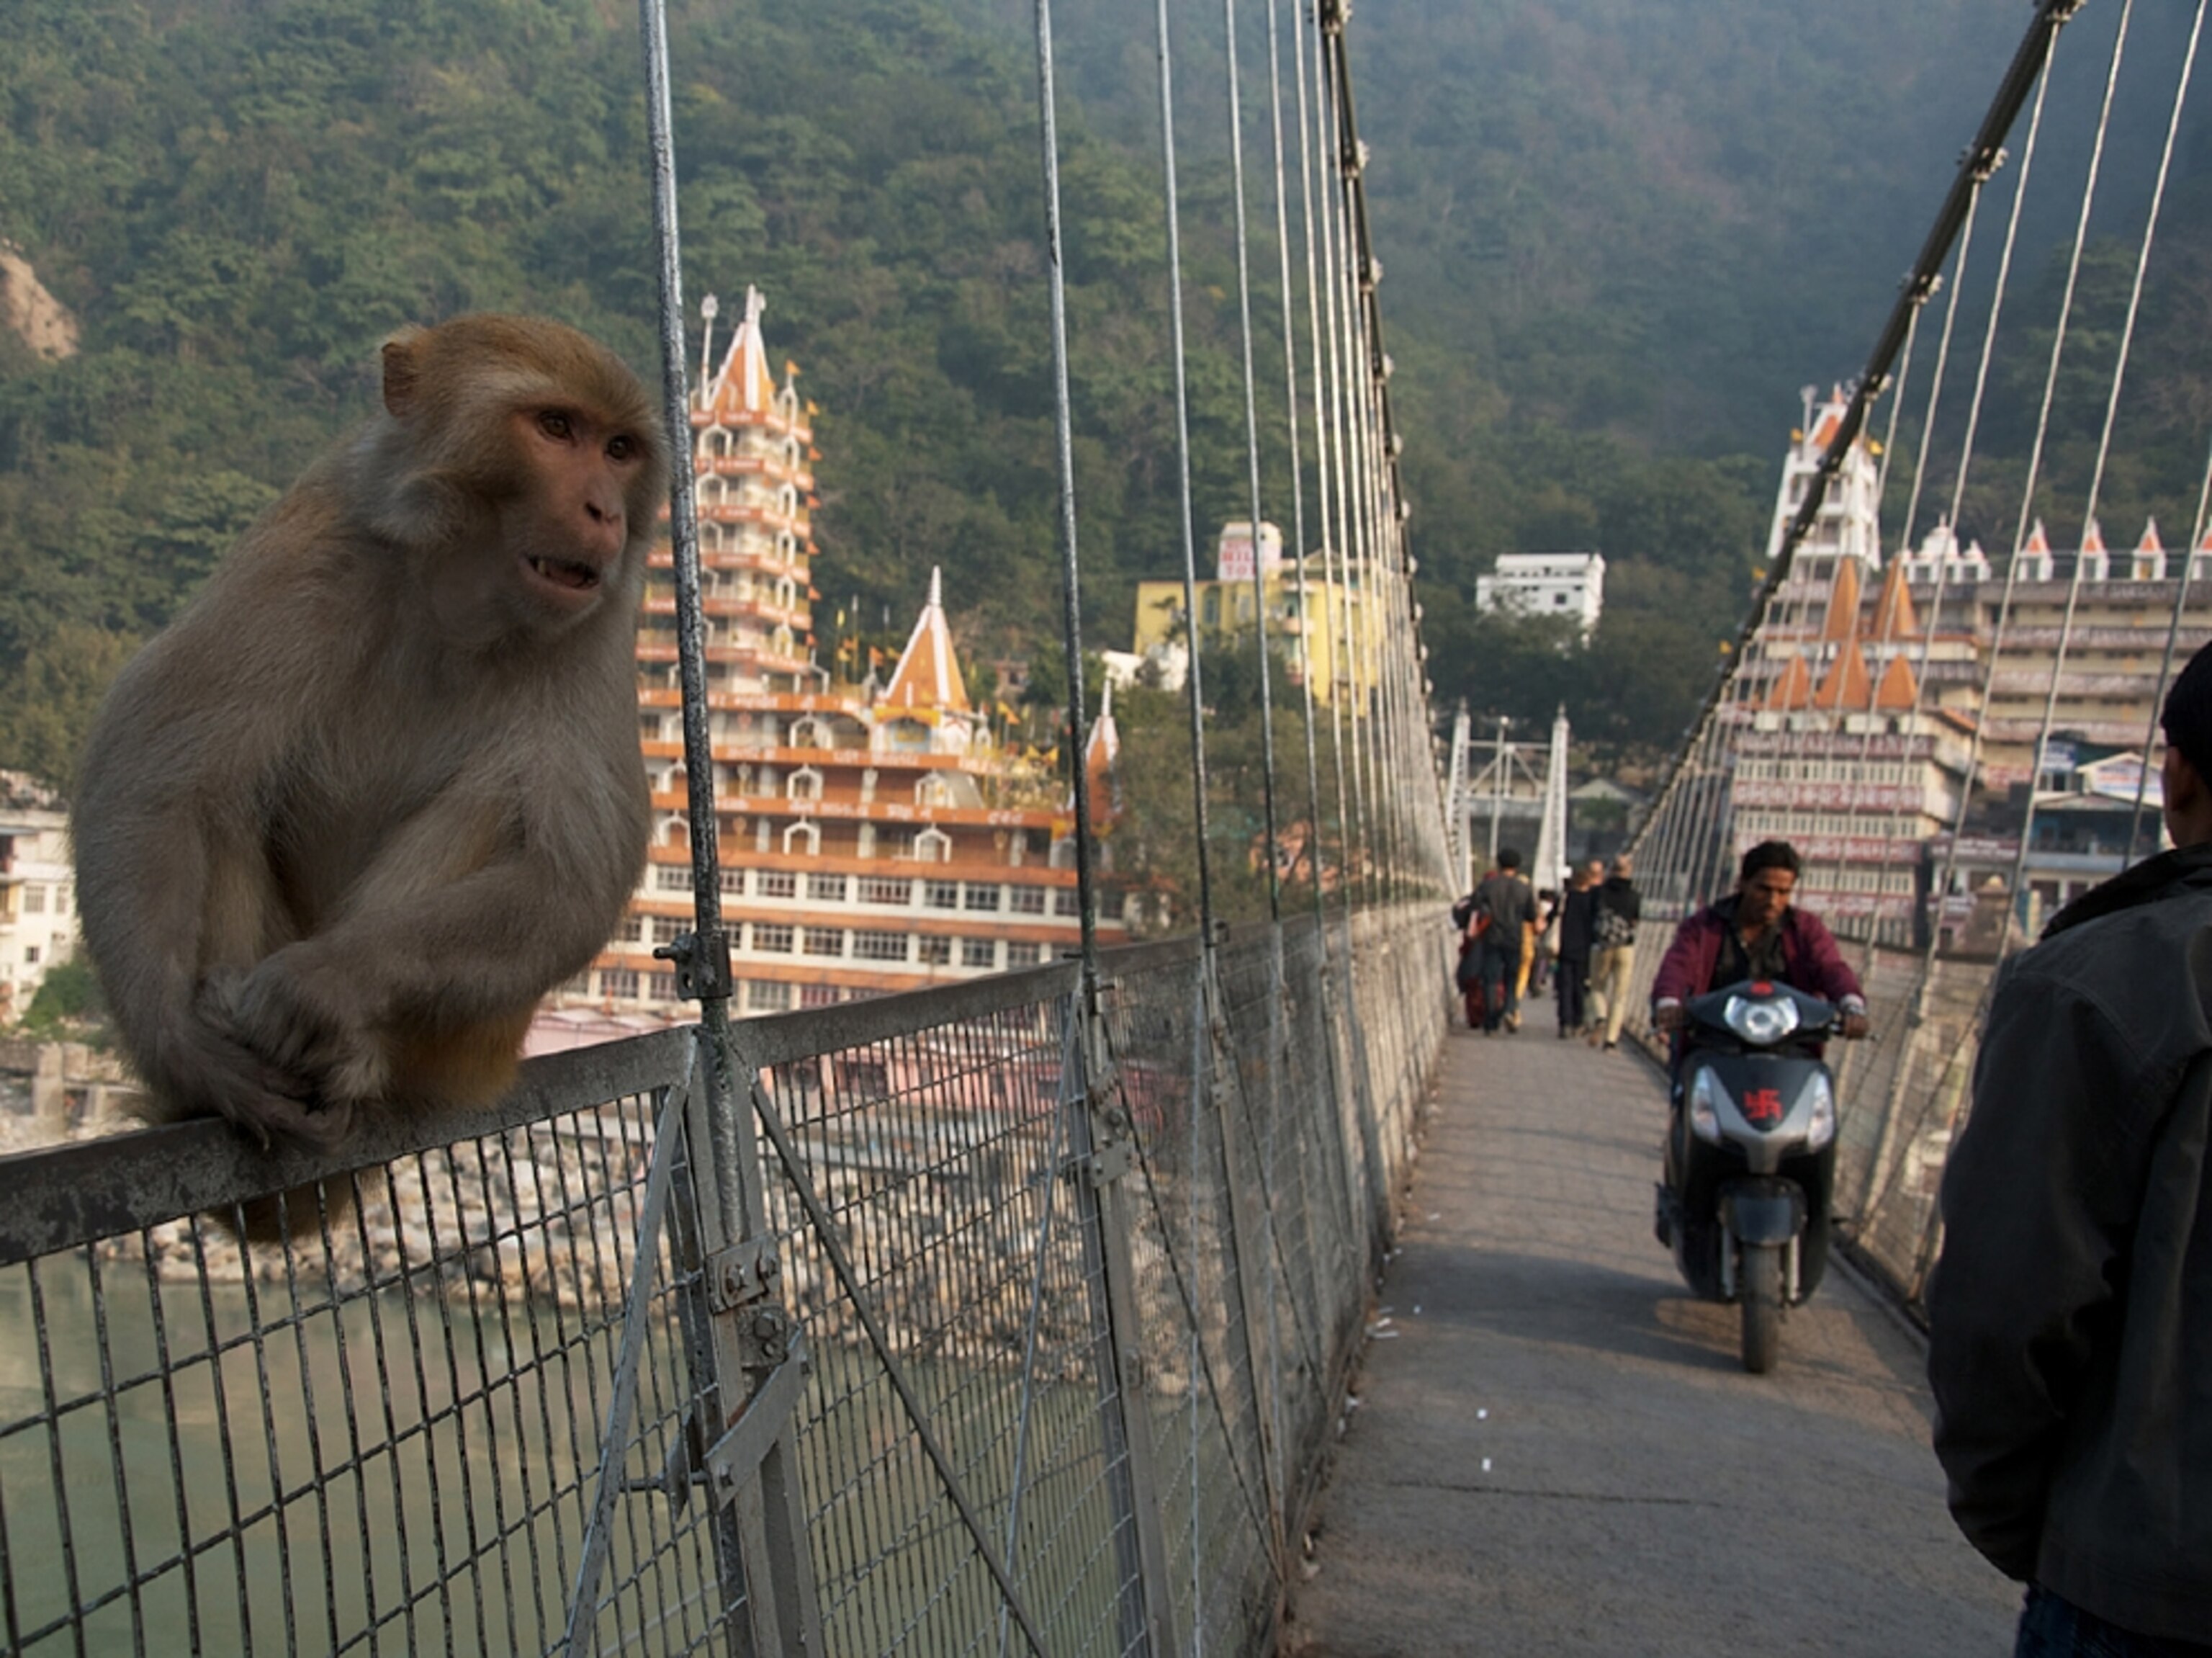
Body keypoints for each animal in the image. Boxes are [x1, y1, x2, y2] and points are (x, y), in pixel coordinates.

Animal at [72, 314, 665, 1157]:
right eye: (556, 428)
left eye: (619, 449)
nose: (604, 511)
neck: (462, 595)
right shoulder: (315, 545)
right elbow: (154, 775)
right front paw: (183, 1049)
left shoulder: (599, 623)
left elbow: (569, 876)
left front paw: (320, 987)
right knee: (220, 794)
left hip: (467, 1044)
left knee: (494, 800)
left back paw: (348, 1058)